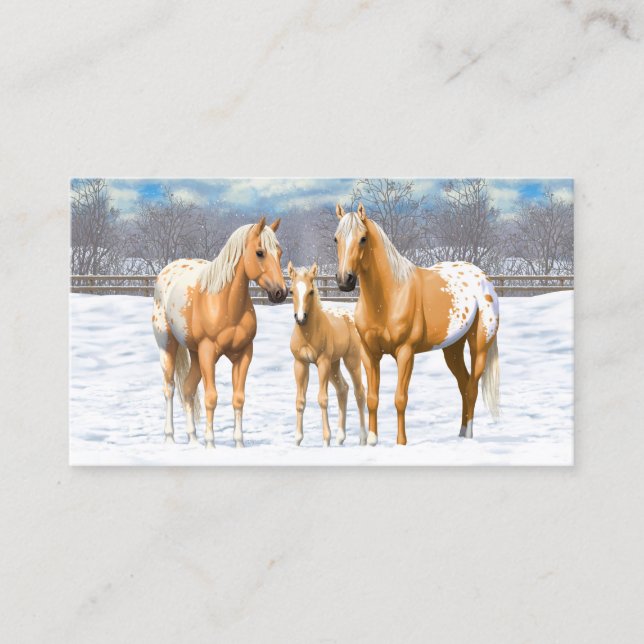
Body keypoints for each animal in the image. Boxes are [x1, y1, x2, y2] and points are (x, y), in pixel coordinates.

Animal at [152, 217, 286, 448]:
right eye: (260, 252)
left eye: (279, 252)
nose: (281, 292)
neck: (225, 303)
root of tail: (168, 270)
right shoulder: (208, 352)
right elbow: (211, 398)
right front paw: (210, 444)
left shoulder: (243, 354)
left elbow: (238, 398)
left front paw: (239, 443)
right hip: (168, 346)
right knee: (169, 388)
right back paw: (170, 438)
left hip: (195, 354)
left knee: (187, 389)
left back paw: (193, 439)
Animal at [288, 262, 367, 447]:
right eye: (291, 291)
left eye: (311, 291)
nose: (300, 318)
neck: (308, 333)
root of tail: (349, 316)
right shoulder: (300, 363)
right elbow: (300, 401)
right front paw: (298, 440)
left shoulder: (322, 362)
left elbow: (322, 399)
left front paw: (326, 440)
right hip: (334, 364)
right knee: (343, 389)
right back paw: (340, 438)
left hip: (350, 360)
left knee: (359, 392)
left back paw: (363, 439)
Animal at [334, 203, 500, 446]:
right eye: (336, 239)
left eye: (363, 238)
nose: (344, 280)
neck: (389, 296)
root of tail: (482, 276)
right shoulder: (369, 353)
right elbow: (372, 397)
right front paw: (373, 440)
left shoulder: (405, 353)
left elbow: (400, 398)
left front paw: (401, 442)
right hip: (452, 349)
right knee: (463, 384)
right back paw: (460, 432)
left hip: (479, 347)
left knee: (472, 387)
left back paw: (468, 434)